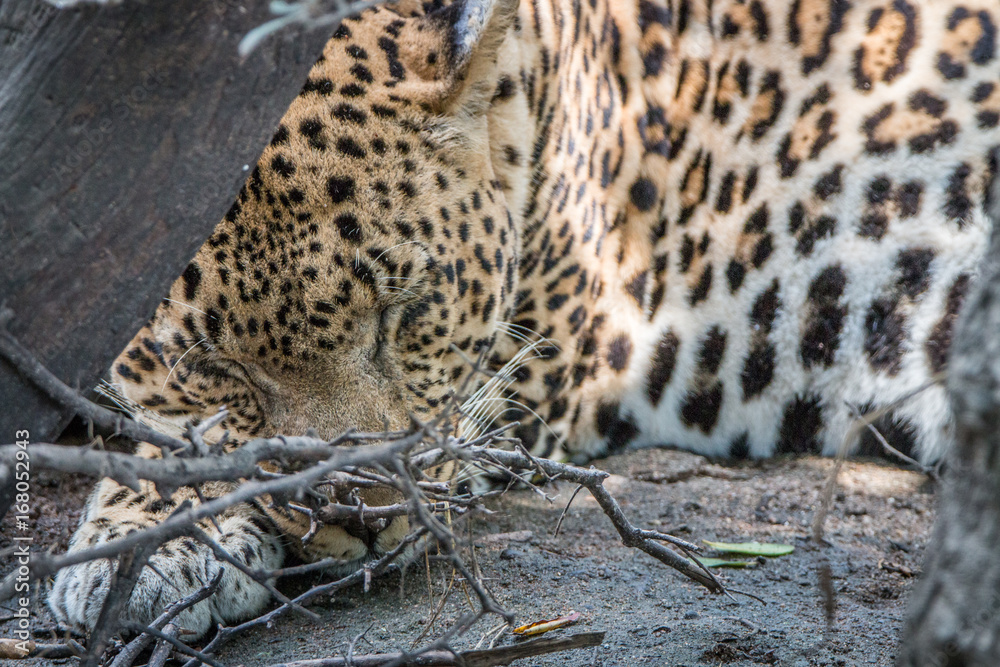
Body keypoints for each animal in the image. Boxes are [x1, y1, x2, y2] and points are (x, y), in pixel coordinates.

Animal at [49, 0, 1000, 642]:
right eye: (216, 368)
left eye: (403, 311)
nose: (365, 517)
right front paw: (137, 544)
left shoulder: (521, 372)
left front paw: (142, 549)